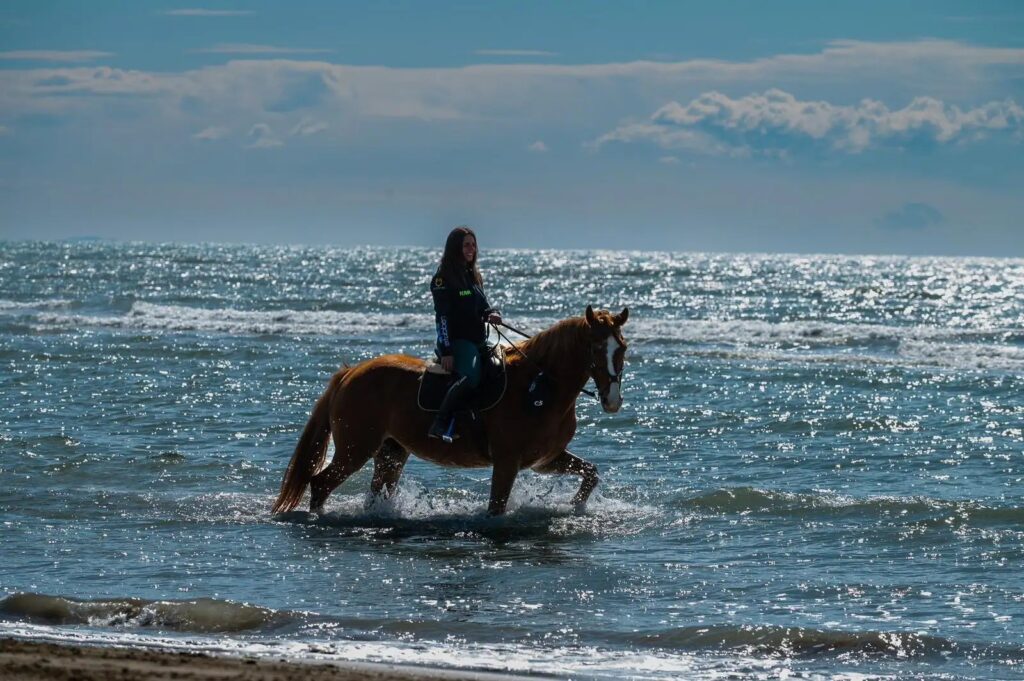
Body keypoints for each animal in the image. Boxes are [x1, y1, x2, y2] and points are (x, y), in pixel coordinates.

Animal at [271, 305, 629, 517]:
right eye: (596, 347)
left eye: (622, 348)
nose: (612, 400)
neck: (538, 386)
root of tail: (350, 373)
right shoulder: (507, 462)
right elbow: (496, 508)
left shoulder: (545, 459)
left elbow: (590, 473)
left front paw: (576, 507)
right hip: (355, 449)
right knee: (320, 484)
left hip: (391, 451)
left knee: (374, 491)